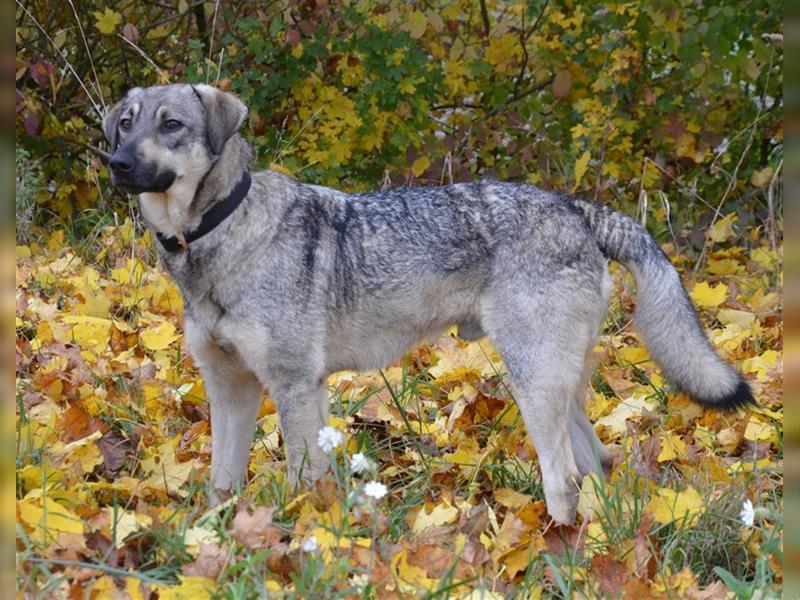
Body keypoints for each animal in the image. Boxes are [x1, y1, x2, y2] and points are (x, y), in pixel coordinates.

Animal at [103, 84, 752, 524]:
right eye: (125, 125)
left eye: (171, 125)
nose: (117, 163)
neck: (217, 234)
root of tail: (576, 207)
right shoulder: (231, 389)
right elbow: (222, 483)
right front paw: (217, 537)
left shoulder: (294, 387)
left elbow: (303, 482)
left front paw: (303, 540)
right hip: (556, 389)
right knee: (595, 466)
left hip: (534, 386)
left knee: (564, 478)